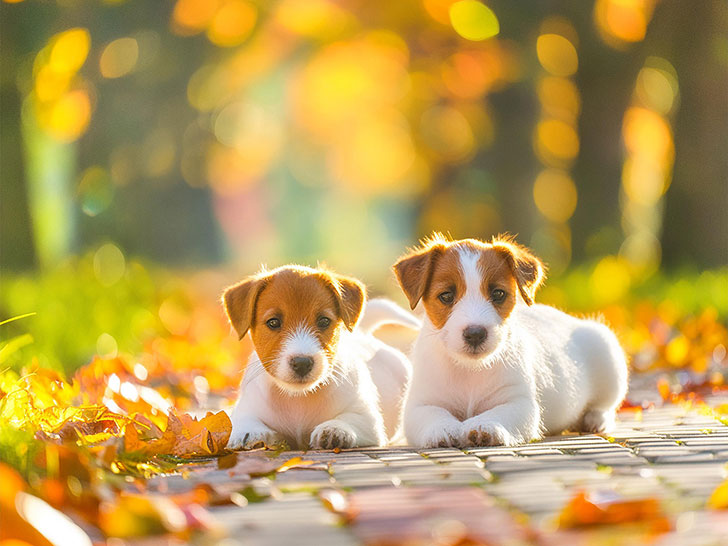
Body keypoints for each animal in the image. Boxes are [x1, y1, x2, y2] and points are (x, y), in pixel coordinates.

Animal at [222, 266, 416, 448]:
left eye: (323, 321)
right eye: (273, 322)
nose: (302, 363)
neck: (298, 398)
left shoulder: (368, 421)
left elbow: (347, 419)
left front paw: (334, 429)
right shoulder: (245, 409)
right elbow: (243, 421)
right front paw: (248, 432)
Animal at [396, 234, 628, 446]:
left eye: (498, 294)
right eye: (446, 296)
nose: (475, 333)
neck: (470, 370)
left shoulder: (520, 404)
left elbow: (498, 413)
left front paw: (485, 426)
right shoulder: (420, 404)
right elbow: (432, 414)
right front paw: (443, 428)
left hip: (607, 354)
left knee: (606, 405)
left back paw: (594, 419)